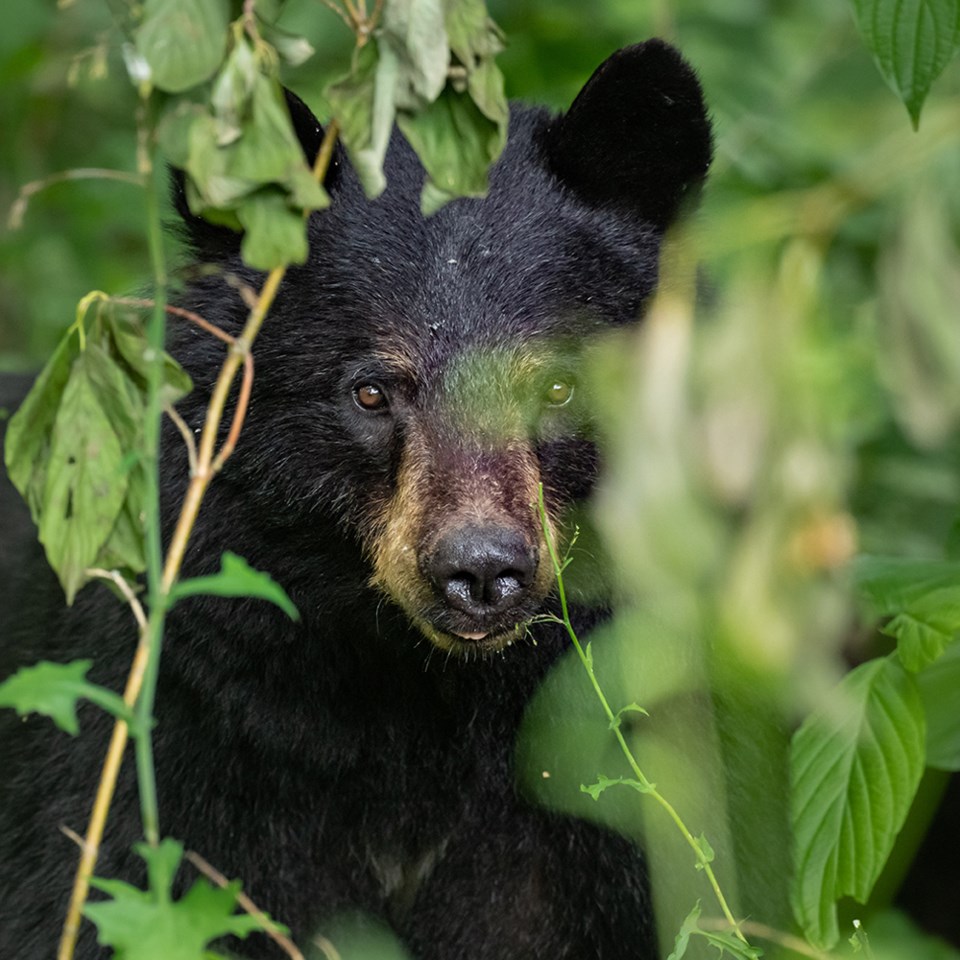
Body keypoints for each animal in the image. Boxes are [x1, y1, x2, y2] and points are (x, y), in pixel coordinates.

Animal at [0, 39, 712, 960]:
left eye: (557, 387)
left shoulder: (593, 800)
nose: (481, 571)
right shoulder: (184, 750)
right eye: (372, 392)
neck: (425, 707)